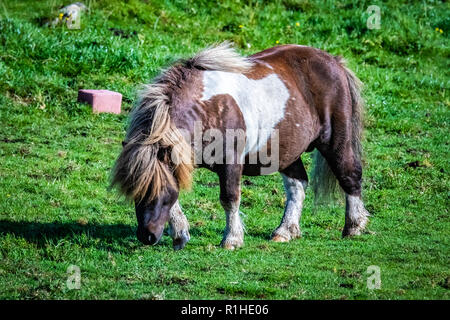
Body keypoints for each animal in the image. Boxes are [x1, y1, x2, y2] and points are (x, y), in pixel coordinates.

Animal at [110, 42, 370, 251]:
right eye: (135, 192)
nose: (147, 237)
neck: (206, 109)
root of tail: (334, 61)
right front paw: (181, 235)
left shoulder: (231, 163)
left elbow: (230, 198)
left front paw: (232, 240)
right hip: (286, 151)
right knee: (297, 186)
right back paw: (284, 232)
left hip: (335, 140)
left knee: (349, 175)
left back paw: (354, 227)